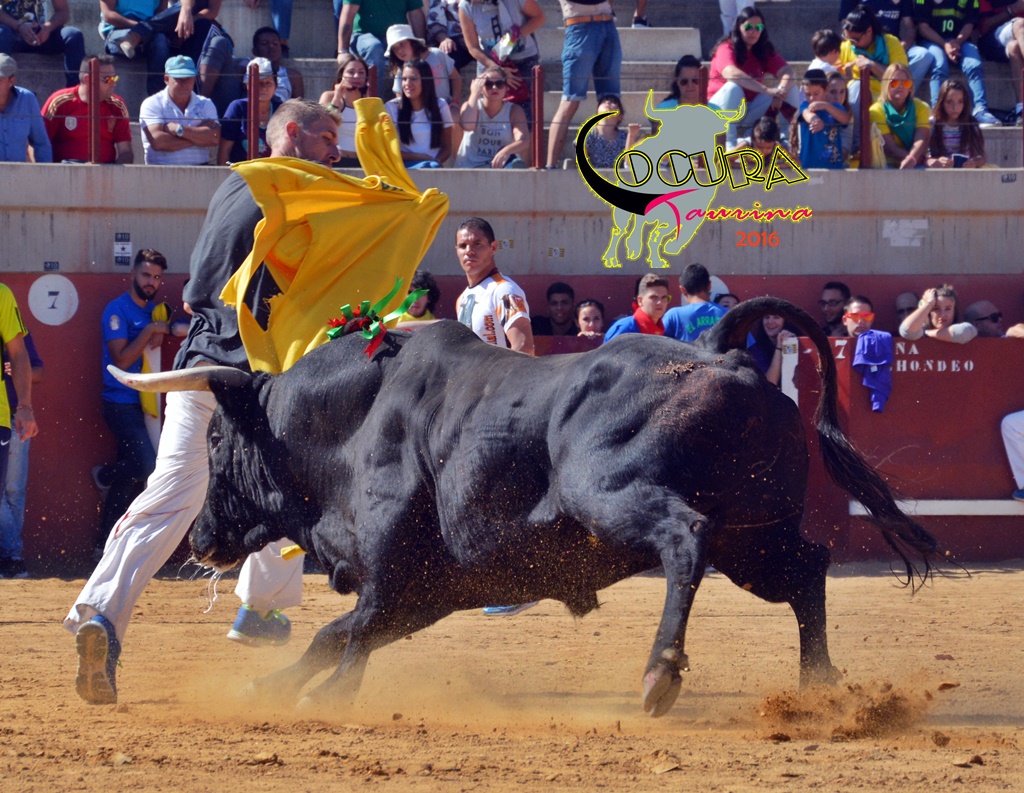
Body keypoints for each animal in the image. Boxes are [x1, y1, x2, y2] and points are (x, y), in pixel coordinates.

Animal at [113, 297, 938, 718]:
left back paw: (659, 673)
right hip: (755, 536)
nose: (201, 539)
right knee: (806, 568)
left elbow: (350, 636)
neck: (354, 417)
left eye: (216, 439)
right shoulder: (428, 589)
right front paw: (271, 686)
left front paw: (327, 697)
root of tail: (718, 348)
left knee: (685, 539)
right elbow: (332, 634)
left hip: (613, 496)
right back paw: (823, 685)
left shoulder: (394, 574)